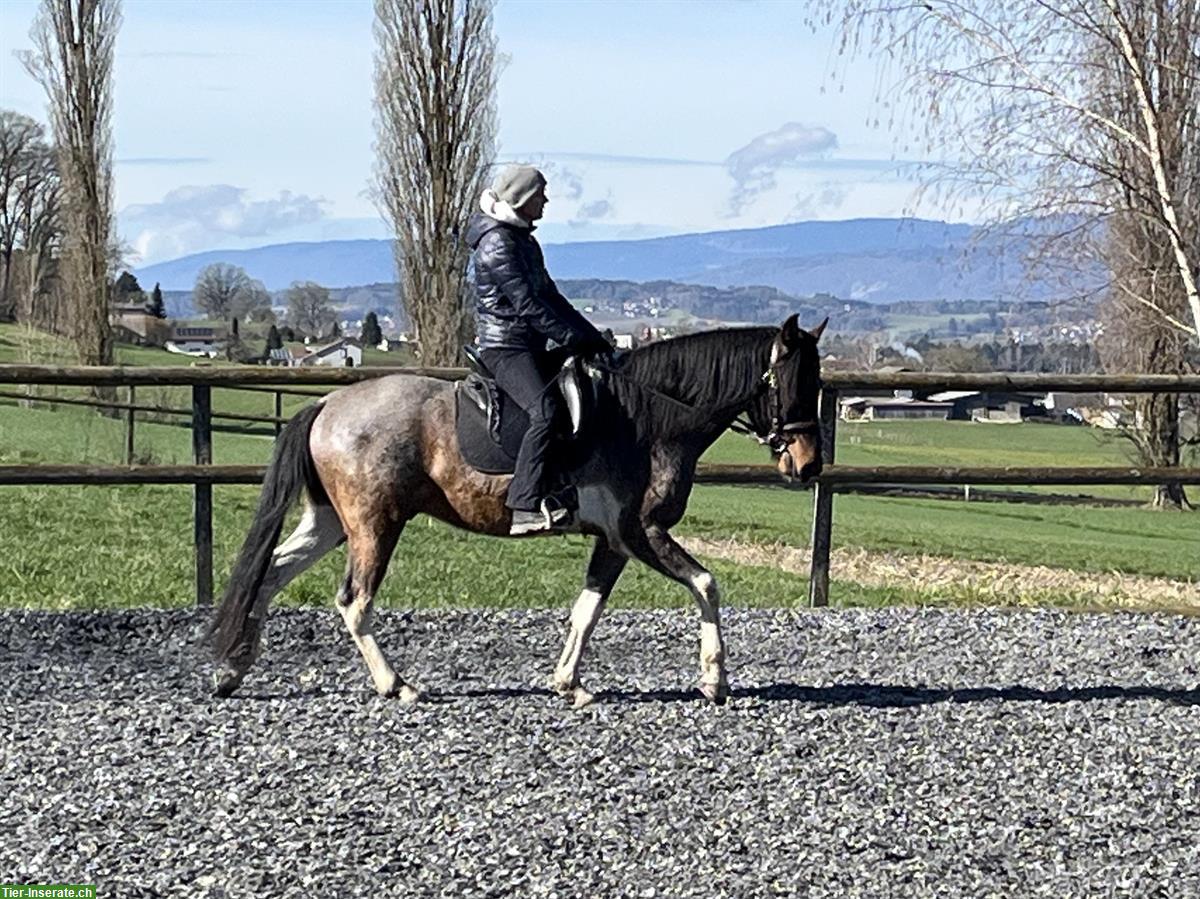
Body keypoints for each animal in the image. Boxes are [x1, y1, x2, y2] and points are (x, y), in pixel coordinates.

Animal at [208, 316, 825, 710]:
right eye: (793, 383)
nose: (808, 465)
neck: (649, 416)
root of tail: (326, 404)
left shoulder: (613, 540)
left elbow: (586, 610)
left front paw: (569, 683)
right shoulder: (640, 531)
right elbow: (707, 583)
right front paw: (715, 680)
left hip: (332, 522)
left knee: (271, 572)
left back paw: (233, 668)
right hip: (374, 524)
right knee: (354, 601)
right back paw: (397, 685)